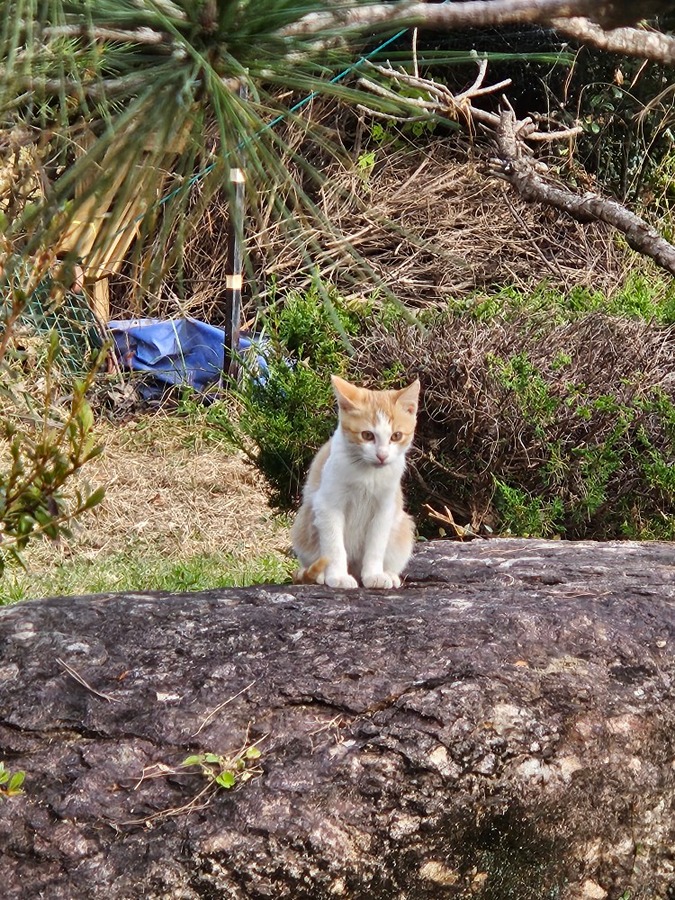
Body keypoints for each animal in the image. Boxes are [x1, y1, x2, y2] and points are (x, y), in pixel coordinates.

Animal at [292, 372, 420, 592]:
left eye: (396, 436)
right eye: (367, 435)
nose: (382, 455)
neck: (368, 475)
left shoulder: (385, 508)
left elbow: (376, 545)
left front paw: (375, 575)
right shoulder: (328, 506)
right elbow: (334, 546)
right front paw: (338, 576)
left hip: (402, 526)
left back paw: (389, 574)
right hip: (304, 522)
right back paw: (320, 575)